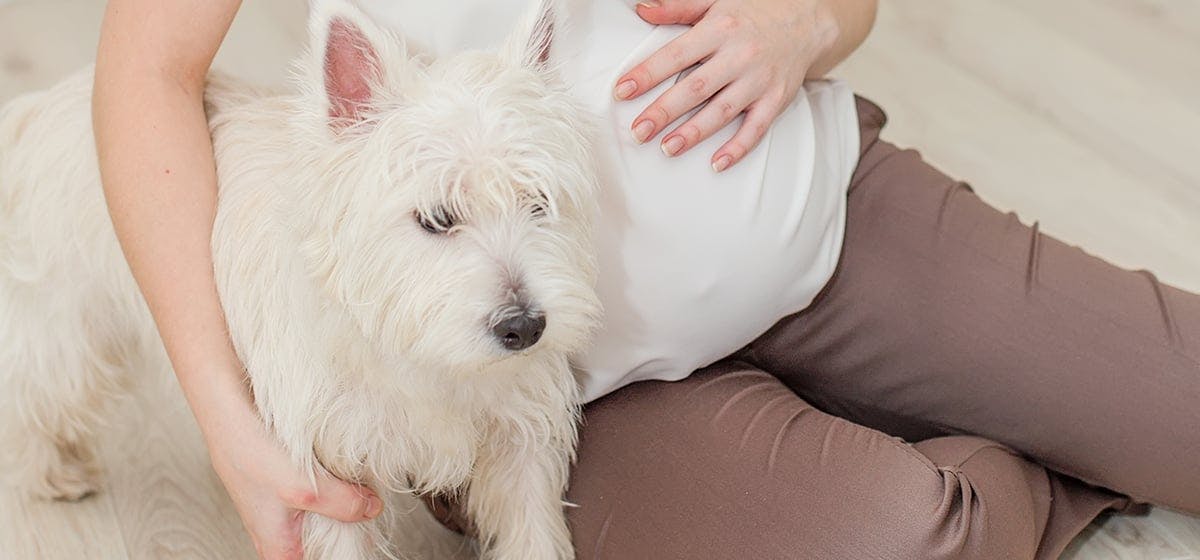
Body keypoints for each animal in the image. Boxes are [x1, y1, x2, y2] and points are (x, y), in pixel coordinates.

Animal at [0, 1, 600, 556]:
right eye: (437, 217)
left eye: (538, 201)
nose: (524, 327)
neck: (422, 356)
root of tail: (48, 101)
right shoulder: (322, 473)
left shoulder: (522, 444)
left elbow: (534, 534)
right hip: (68, 328)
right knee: (34, 385)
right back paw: (51, 471)